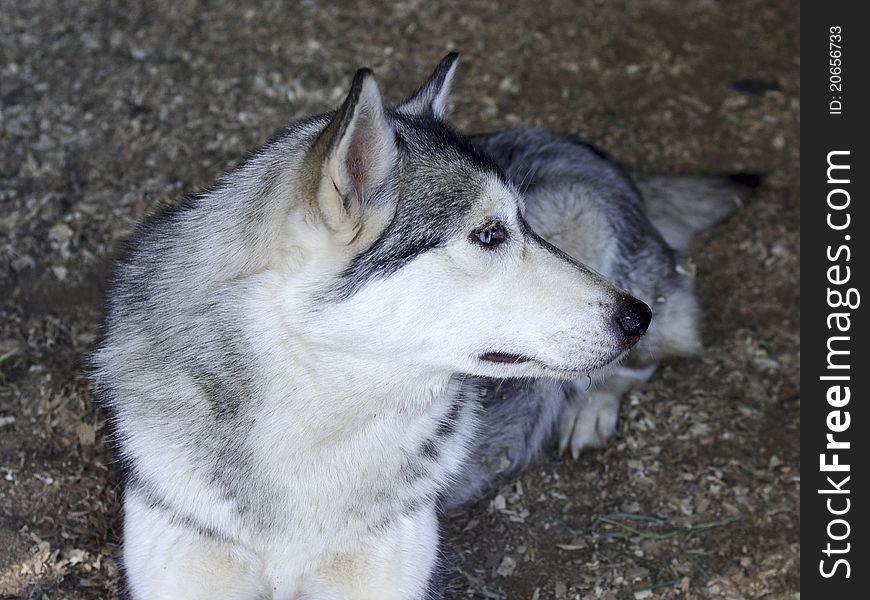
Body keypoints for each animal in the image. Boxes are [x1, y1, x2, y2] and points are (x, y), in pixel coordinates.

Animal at [90, 54, 756, 596]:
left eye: (521, 225)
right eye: (490, 235)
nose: (634, 317)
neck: (313, 437)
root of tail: (590, 150)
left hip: (589, 226)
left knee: (656, 351)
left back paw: (590, 406)